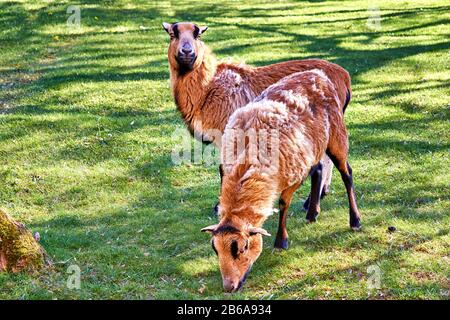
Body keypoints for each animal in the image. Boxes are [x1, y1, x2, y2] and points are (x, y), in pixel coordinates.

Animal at [163, 21, 354, 216]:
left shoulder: (227, 131)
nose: (187, 52)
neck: (207, 87)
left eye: (198, 35)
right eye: (172, 34)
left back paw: (312, 204)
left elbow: (224, 168)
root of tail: (344, 76)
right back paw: (320, 196)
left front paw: (220, 206)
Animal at [202, 69, 364, 292]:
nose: (229, 287)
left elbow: (283, 203)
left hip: (337, 135)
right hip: (312, 146)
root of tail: (317, 73)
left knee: (346, 172)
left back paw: (355, 220)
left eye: (243, 247)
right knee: (319, 169)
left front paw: (281, 242)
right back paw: (312, 212)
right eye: (215, 249)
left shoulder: (292, 175)